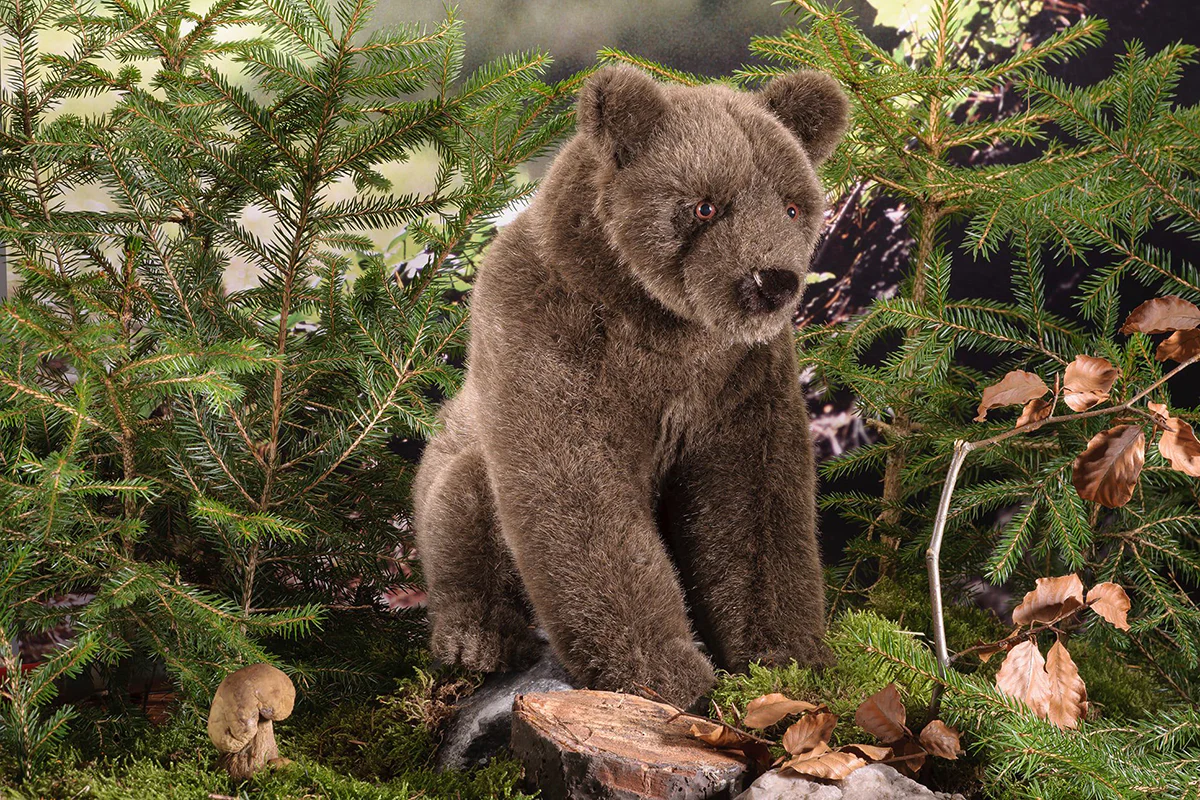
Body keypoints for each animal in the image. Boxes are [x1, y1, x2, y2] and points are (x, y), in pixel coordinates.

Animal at [412, 65, 849, 707]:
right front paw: (663, 671)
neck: (663, 329)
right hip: (459, 469)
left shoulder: (742, 381)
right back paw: (478, 637)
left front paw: (786, 656)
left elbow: (755, 510)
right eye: (704, 205)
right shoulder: (550, 344)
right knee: (464, 503)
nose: (771, 281)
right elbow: (581, 501)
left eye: (793, 207)